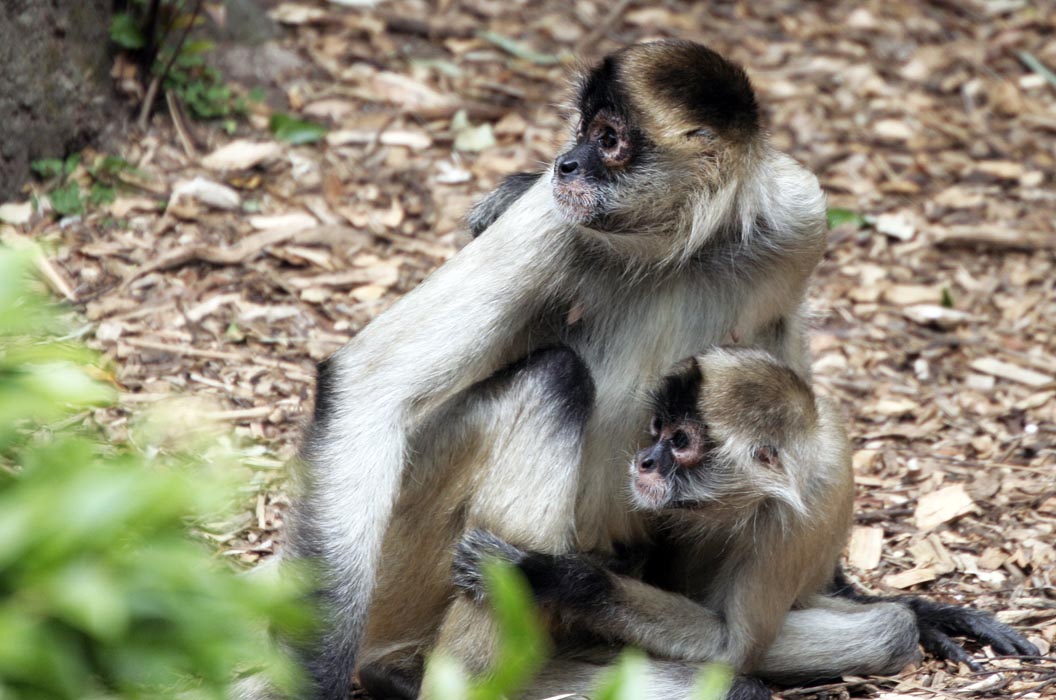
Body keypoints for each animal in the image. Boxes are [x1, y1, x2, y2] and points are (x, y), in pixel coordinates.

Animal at [451, 348, 1038, 697]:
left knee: (890, 631)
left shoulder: (793, 521)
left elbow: (732, 647)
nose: (645, 460)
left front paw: (551, 576)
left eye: (680, 442)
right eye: (658, 429)